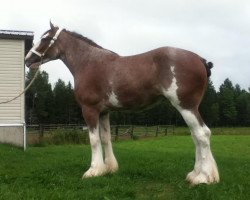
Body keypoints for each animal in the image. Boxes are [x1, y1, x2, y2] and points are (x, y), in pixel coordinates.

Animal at [24, 22, 219, 184]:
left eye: (45, 38)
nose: (27, 60)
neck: (88, 62)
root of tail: (200, 60)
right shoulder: (104, 112)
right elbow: (105, 138)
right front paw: (109, 168)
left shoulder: (89, 110)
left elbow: (94, 140)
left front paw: (93, 170)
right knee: (196, 136)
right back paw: (196, 174)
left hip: (186, 106)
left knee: (202, 134)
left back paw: (203, 177)